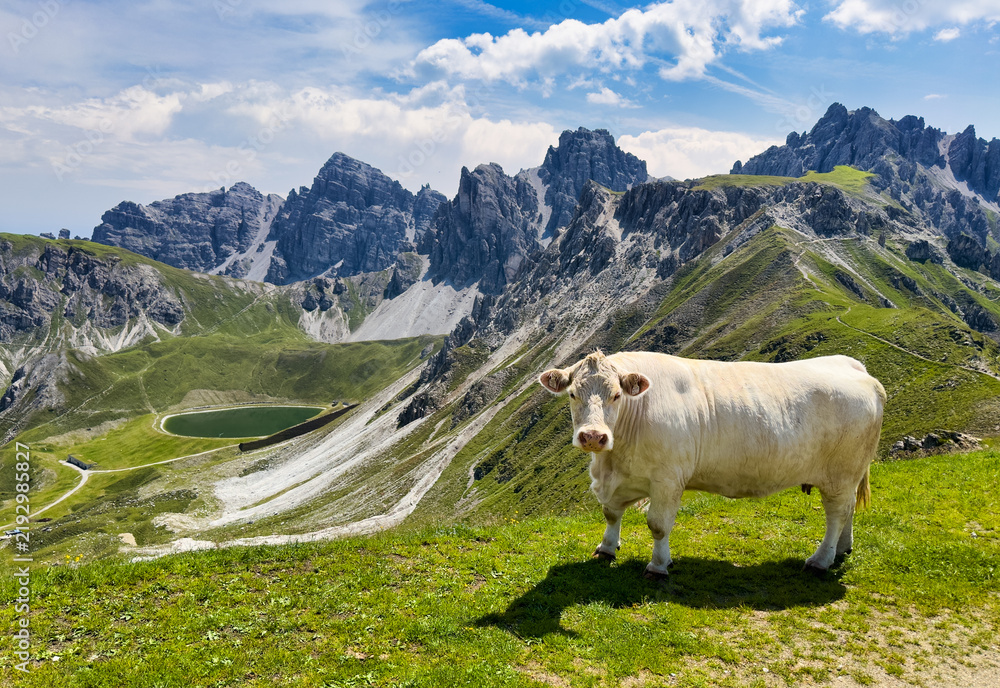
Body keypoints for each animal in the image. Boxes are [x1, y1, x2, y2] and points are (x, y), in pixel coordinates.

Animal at [539, 350, 886, 579]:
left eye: (615, 395)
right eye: (572, 394)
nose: (593, 436)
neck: (611, 461)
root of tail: (858, 369)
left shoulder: (668, 479)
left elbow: (658, 525)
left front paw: (658, 566)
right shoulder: (620, 478)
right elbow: (611, 513)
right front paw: (607, 548)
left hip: (841, 473)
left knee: (836, 514)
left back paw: (821, 559)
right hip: (849, 475)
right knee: (848, 510)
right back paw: (842, 549)